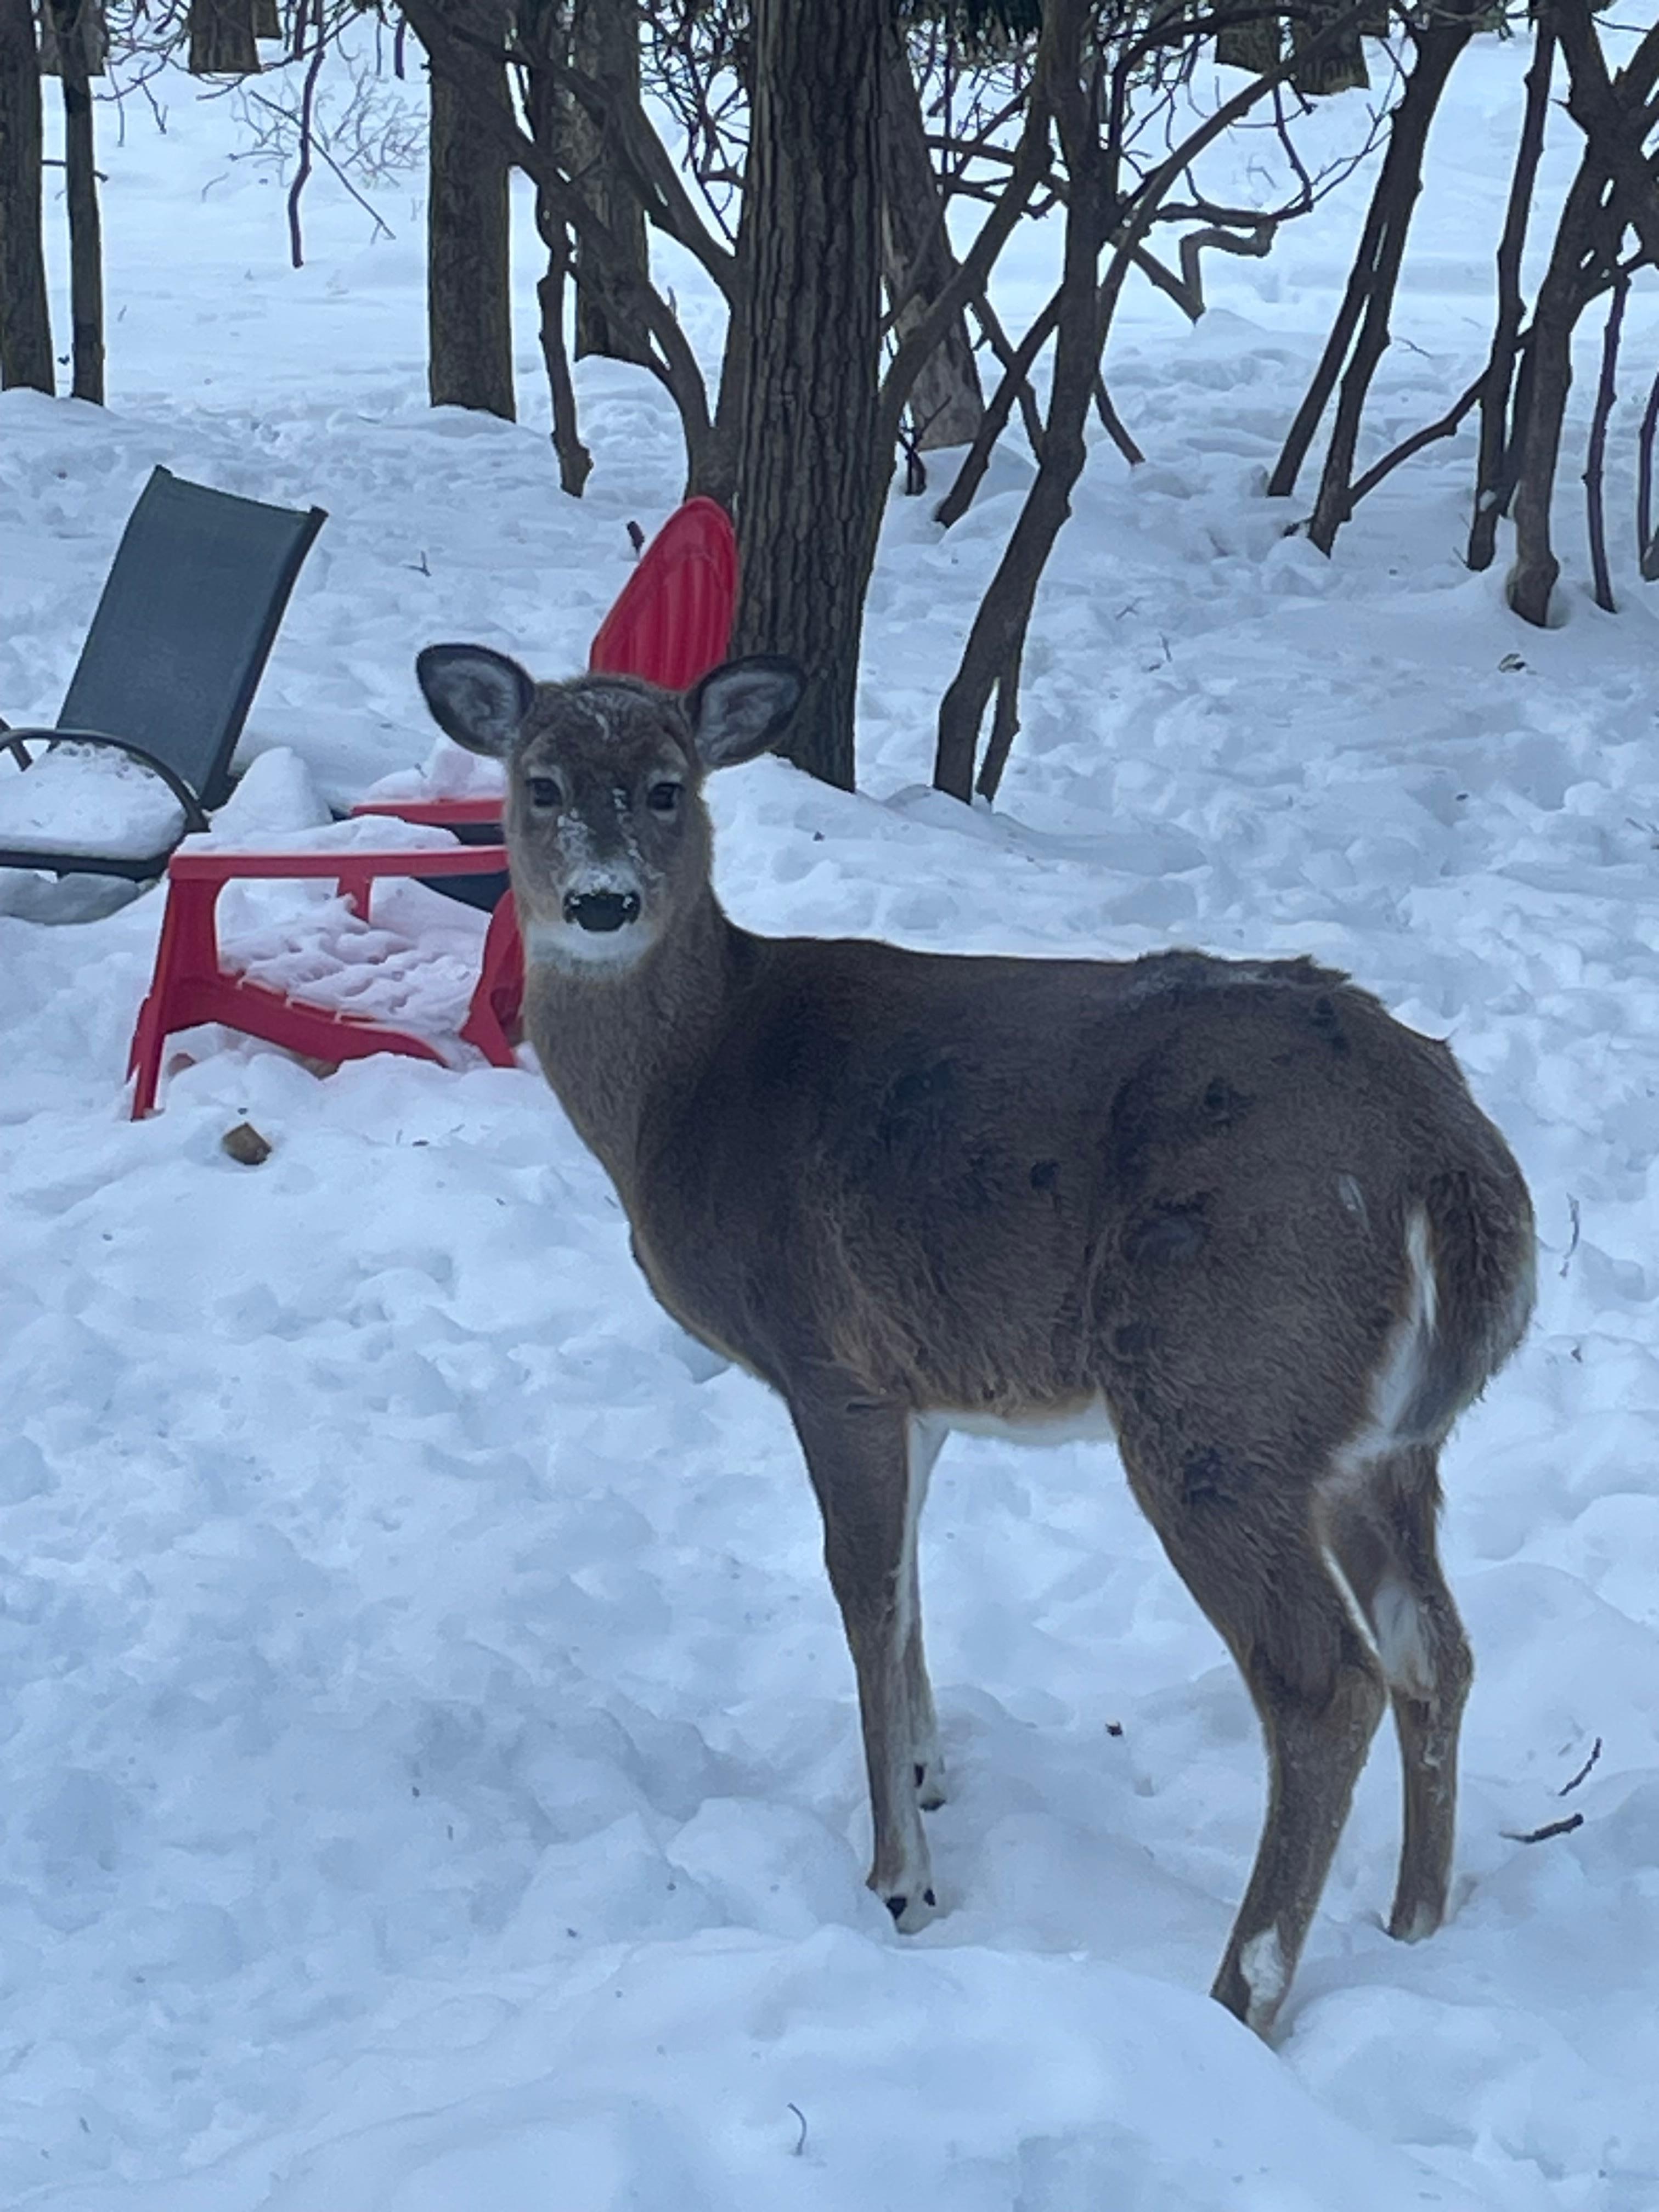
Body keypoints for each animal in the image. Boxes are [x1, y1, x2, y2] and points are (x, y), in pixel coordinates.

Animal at [415, 644, 1536, 2037]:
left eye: (671, 786)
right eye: (542, 782)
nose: (605, 902)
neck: (691, 1090)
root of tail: (1449, 1158)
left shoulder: (827, 1358)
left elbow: (862, 1587)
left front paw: (901, 1881)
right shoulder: (921, 1382)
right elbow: (906, 1585)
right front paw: (929, 1769)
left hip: (1220, 1390)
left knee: (1326, 1678)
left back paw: (1238, 1997)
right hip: (1377, 1439)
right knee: (1435, 1646)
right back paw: (1417, 1922)